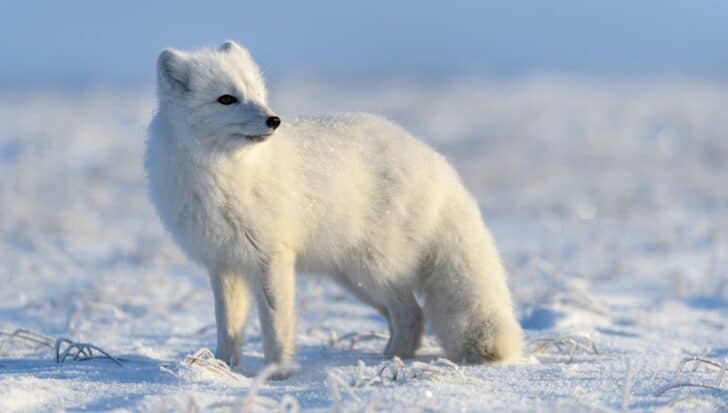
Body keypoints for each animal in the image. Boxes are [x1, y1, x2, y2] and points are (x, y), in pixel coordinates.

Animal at [145, 41, 524, 370]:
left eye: (257, 94)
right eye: (226, 99)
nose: (274, 120)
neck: (225, 173)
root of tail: (440, 165)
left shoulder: (272, 257)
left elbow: (276, 326)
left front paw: (278, 373)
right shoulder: (224, 263)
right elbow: (227, 328)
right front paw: (223, 369)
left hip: (373, 270)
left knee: (411, 313)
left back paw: (388, 362)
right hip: (354, 279)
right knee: (408, 316)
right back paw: (387, 358)